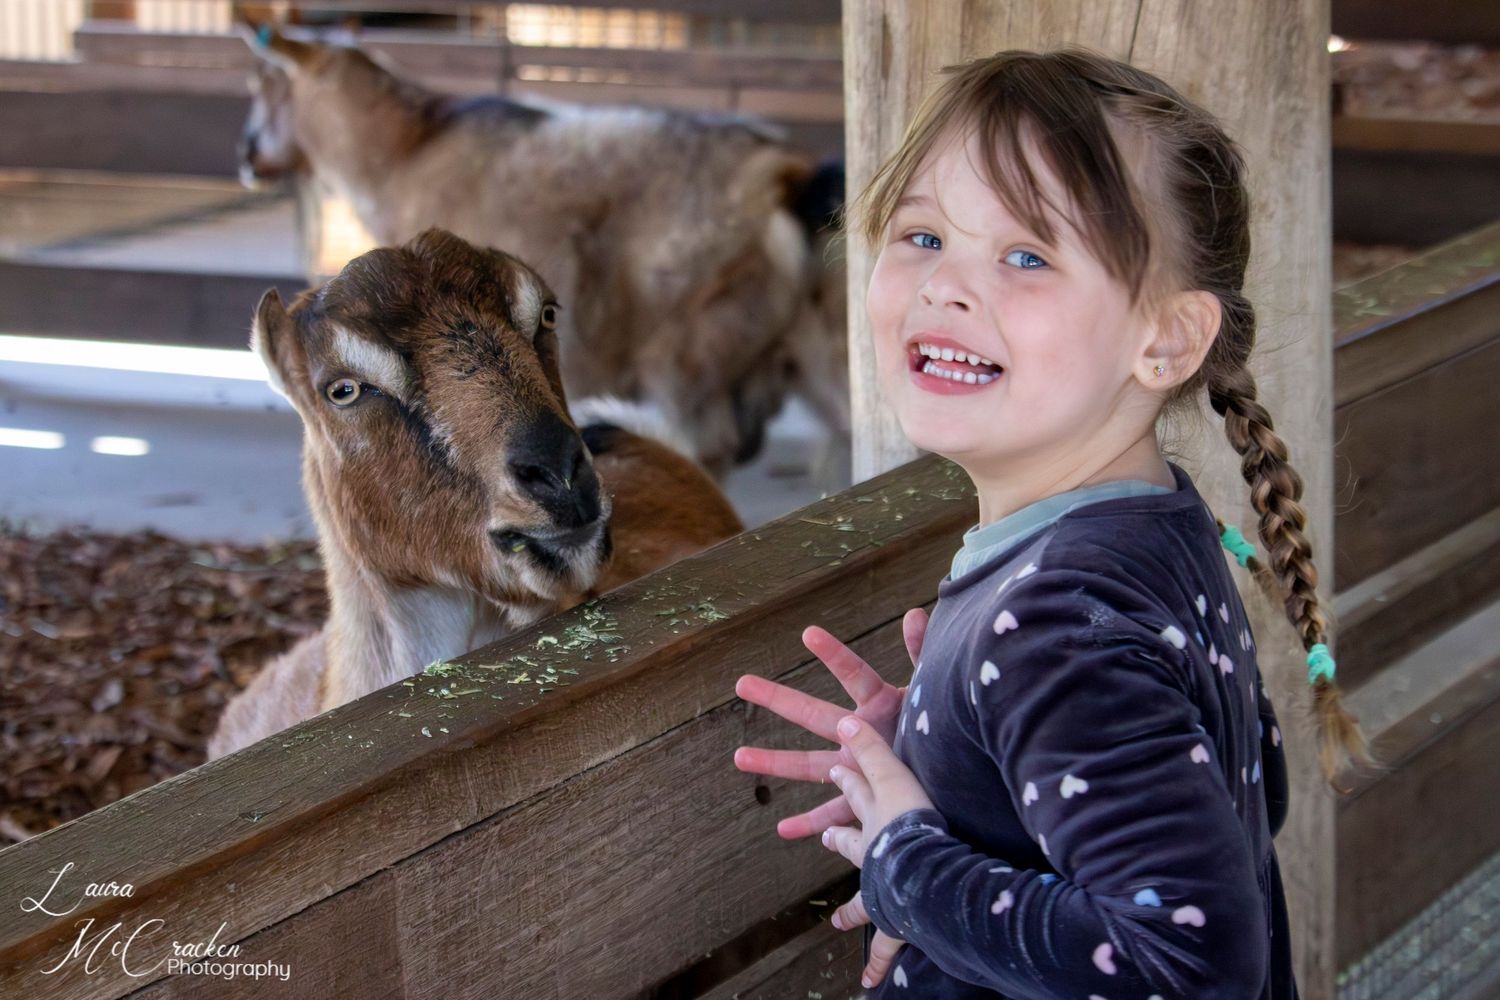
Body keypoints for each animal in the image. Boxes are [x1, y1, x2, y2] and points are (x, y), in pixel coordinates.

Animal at [238, 26, 850, 479]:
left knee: (705, 443)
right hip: (817, 338)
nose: (246, 157)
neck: (409, 151)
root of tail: (788, 179)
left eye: (265, 84)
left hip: (691, 348)